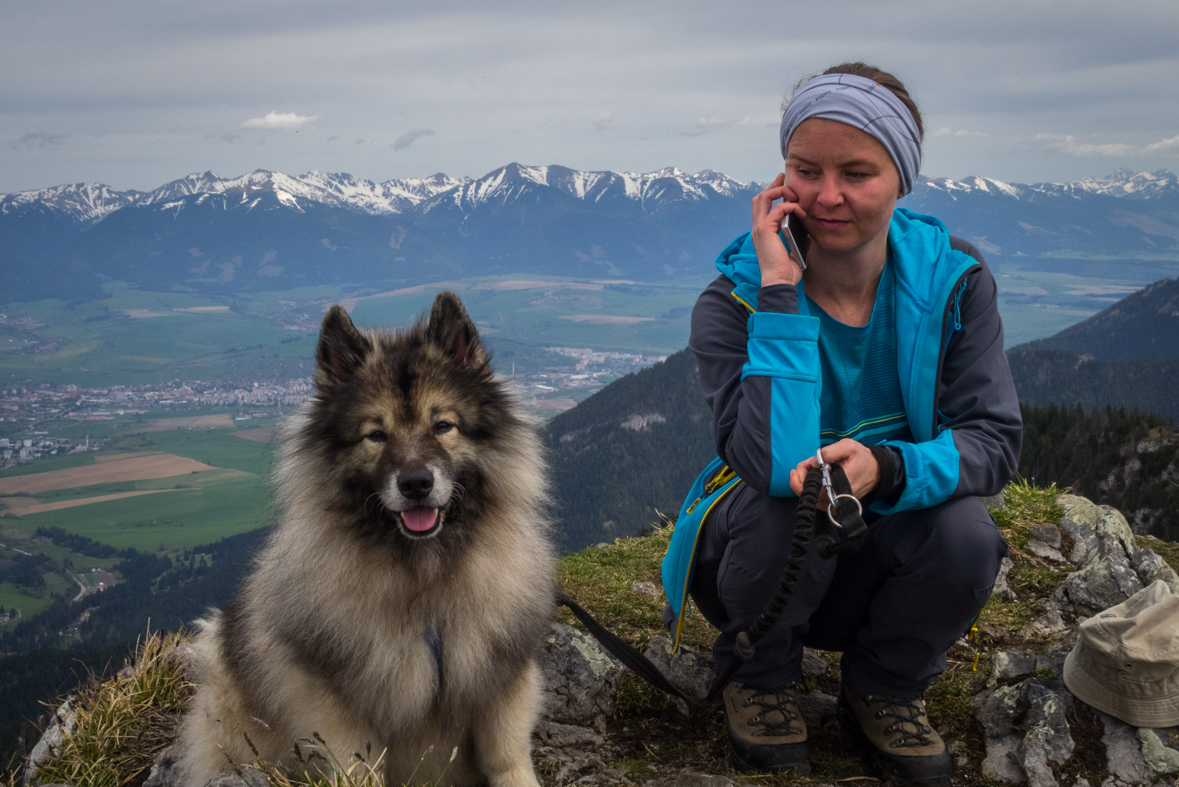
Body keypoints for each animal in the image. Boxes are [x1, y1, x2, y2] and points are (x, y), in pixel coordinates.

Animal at [174, 294, 556, 787]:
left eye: (443, 426)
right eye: (376, 435)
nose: (416, 483)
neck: (426, 581)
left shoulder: (501, 679)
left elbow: (508, 755)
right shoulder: (340, 705)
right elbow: (357, 766)